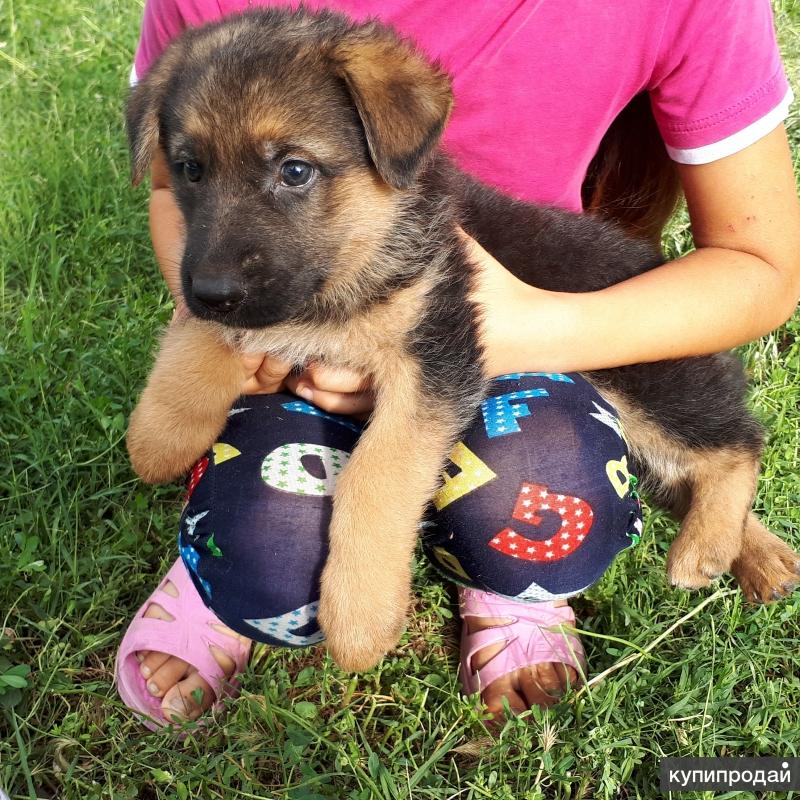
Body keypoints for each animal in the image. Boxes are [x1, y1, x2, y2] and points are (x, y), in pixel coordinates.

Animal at [125, 7, 792, 668]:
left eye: (294, 170)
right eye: (189, 170)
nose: (212, 289)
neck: (365, 244)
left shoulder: (435, 354)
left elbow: (375, 475)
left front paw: (360, 613)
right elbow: (196, 340)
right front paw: (161, 434)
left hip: (651, 381)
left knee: (737, 444)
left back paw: (706, 548)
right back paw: (760, 556)